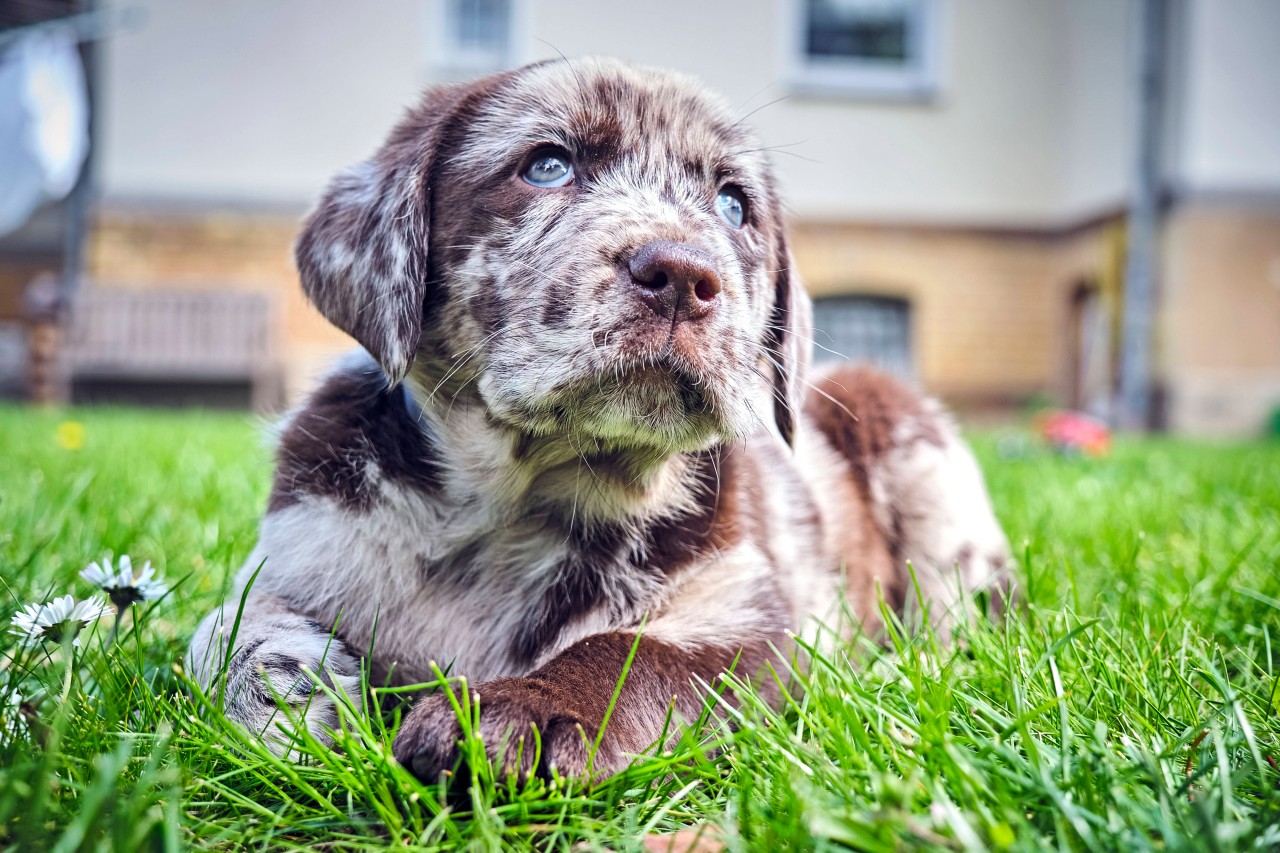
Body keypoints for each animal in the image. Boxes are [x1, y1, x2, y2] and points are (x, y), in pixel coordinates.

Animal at [186, 56, 1008, 778]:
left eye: (734, 206)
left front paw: (526, 709)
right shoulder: (301, 549)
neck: (514, 506)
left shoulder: (747, 622)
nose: (683, 275)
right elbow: (220, 631)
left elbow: (630, 652)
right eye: (547, 165)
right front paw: (285, 690)